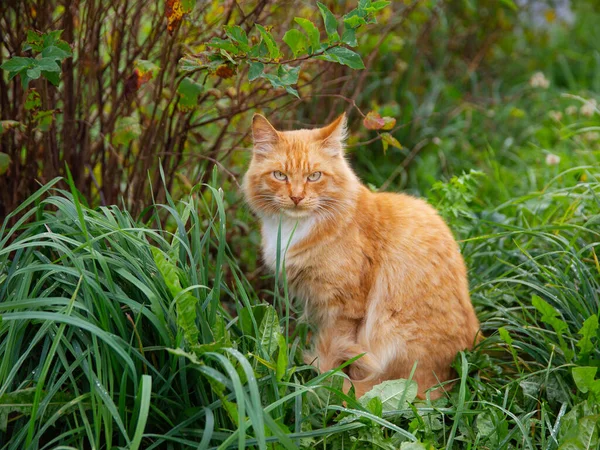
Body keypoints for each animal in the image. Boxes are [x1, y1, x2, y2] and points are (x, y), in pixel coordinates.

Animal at [241, 112, 480, 398]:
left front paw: (332, 382)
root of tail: (447, 378)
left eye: (314, 176)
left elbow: (337, 351)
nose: (297, 197)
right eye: (280, 175)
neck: (294, 228)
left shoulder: (345, 306)